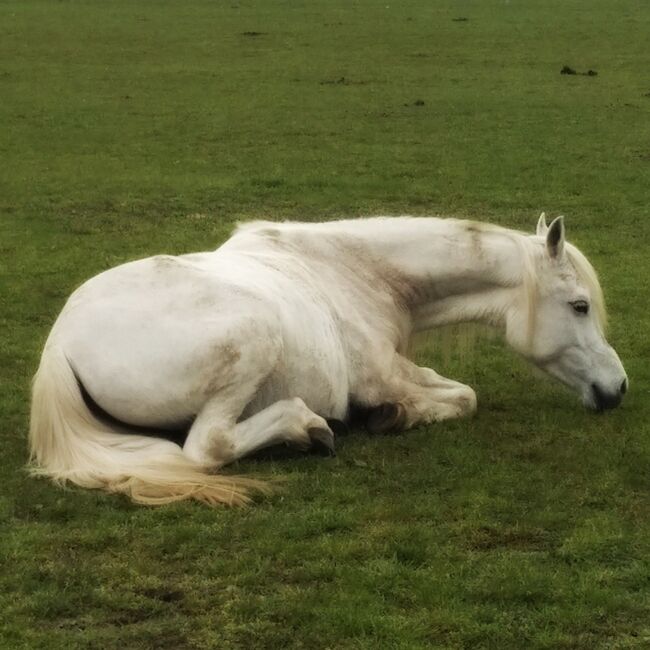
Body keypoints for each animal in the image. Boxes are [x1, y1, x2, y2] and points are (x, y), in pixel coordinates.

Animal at [27, 215, 624, 504]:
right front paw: (392, 417)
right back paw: (308, 428)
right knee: (208, 447)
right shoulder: (381, 375)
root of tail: (60, 344)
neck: (356, 272)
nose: (616, 389)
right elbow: (464, 397)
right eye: (580, 305)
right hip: (256, 338)